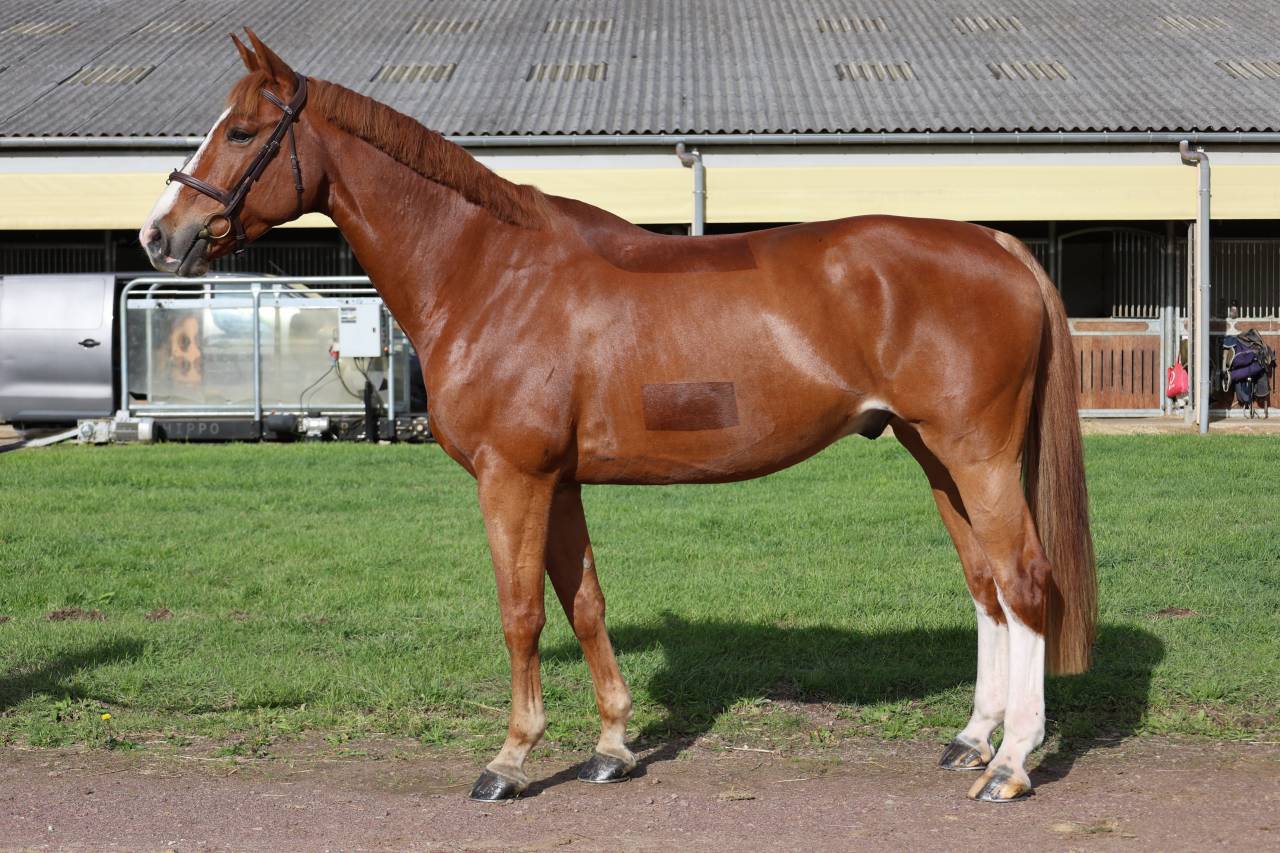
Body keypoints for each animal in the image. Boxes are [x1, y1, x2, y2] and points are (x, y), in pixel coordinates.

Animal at [140, 30, 1097, 803]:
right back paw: (973, 739)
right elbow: (586, 602)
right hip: (935, 454)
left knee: (1024, 580)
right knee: (986, 585)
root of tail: (998, 244)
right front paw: (611, 747)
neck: (488, 270)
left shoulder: (513, 478)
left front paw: (510, 760)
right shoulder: (557, 482)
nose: (159, 235)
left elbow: (521, 611)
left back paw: (1012, 764)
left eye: (241, 131)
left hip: (973, 453)